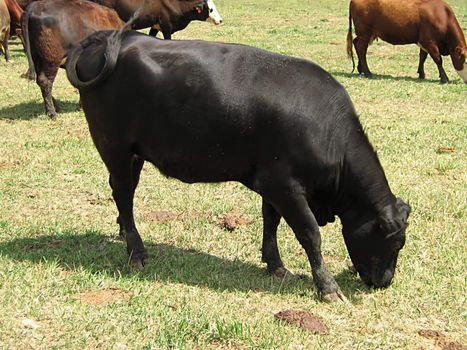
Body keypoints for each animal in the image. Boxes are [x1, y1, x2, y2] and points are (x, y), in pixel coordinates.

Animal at [66, 26, 414, 300]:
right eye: (396, 242)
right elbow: (309, 233)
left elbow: (270, 222)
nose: (384, 282)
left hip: (134, 152)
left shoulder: (272, 181)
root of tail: (115, 36)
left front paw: (276, 265)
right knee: (123, 194)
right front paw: (327, 287)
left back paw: (124, 234)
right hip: (114, 146)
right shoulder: (285, 186)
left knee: (124, 193)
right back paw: (137, 252)